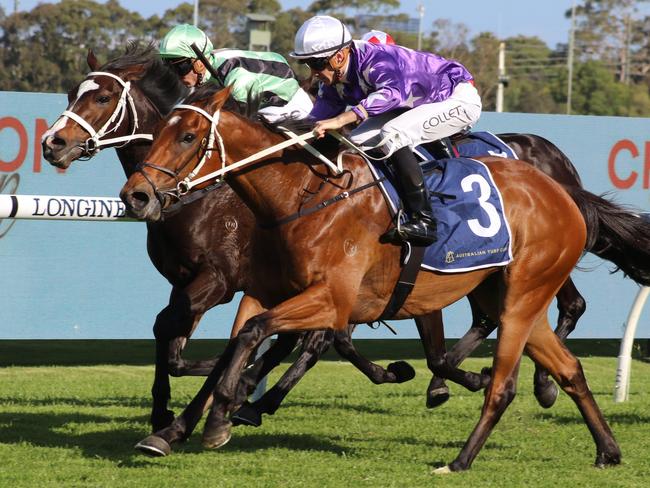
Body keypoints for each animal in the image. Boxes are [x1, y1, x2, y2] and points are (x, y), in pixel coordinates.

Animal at [120, 86, 636, 470]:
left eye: (188, 136)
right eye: (158, 131)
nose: (136, 195)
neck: (304, 195)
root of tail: (565, 193)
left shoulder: (332, 298)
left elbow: (256, 333)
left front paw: (223, 412)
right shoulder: (264, 291)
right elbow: (241, 340)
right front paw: (175, 428)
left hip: (524, 294)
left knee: (519, 366)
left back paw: (465, 450)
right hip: (506, 295)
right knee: (568, 367)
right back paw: (605, 449)